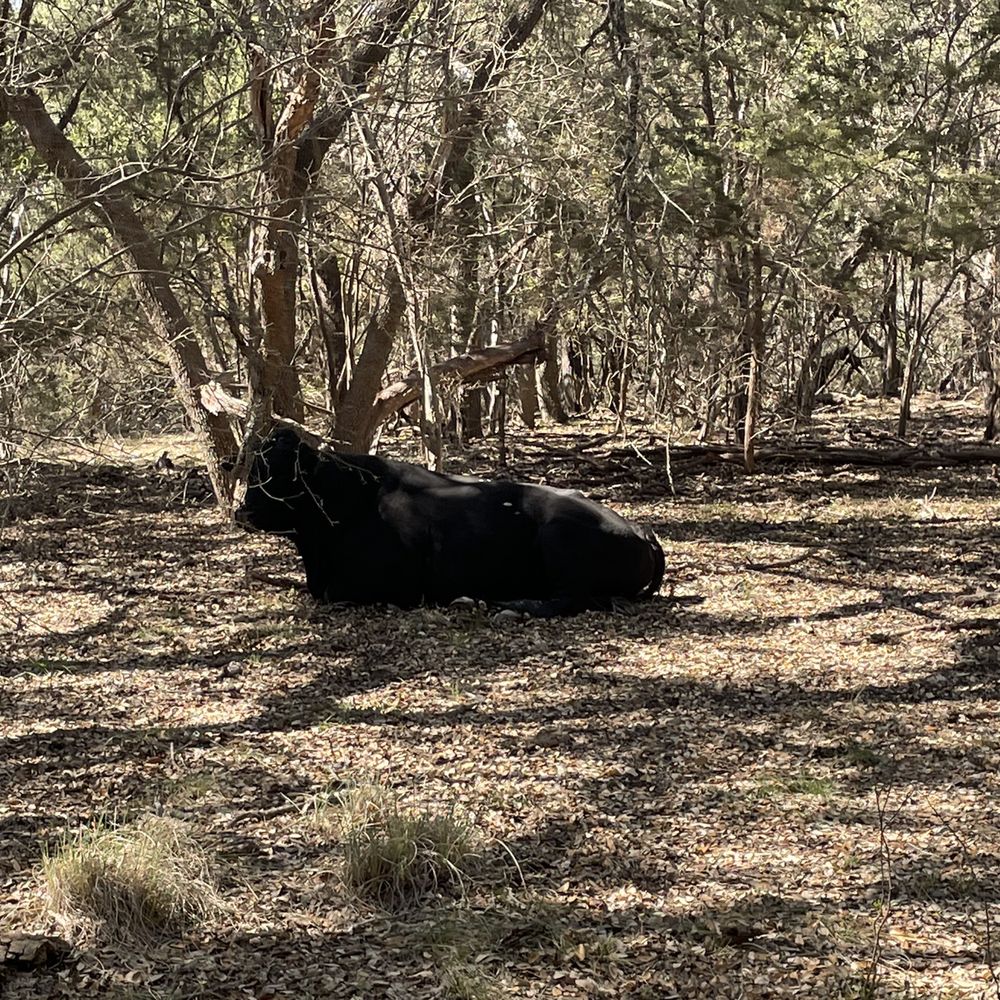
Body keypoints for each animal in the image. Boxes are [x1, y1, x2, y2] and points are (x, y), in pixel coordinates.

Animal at [234, 428, 664, 616]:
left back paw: (508, 605)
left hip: (558, 538)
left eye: (283, 474)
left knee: (578, 599)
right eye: (254, 468)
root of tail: (639, 529)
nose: (243, 512)